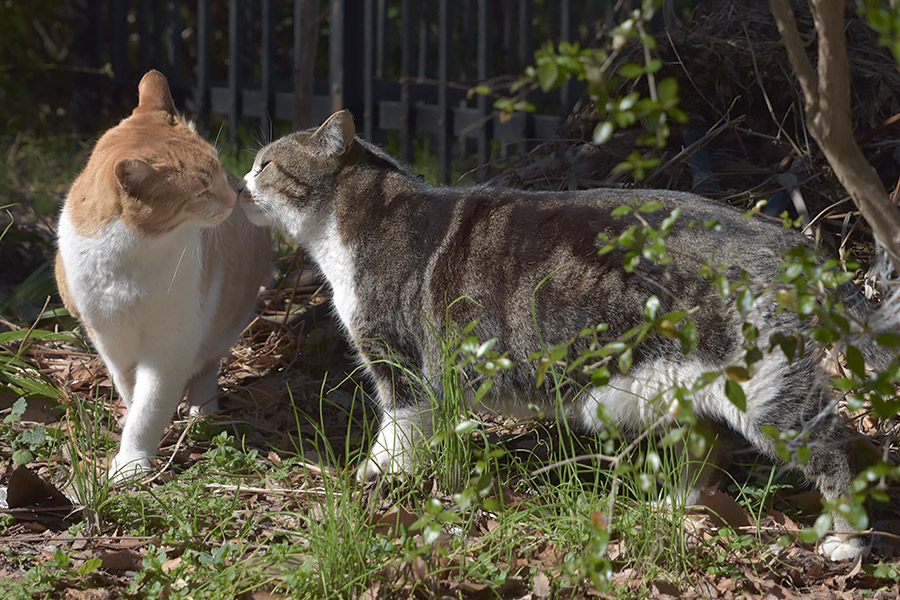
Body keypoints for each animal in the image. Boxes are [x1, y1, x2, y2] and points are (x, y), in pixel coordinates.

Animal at [53, 70, 268, 480]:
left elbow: (149, 405)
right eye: (201, 190)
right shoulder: (108, 339)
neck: (124, 259)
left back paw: (203, 410)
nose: (234, 193)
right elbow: (131, 391)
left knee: (207, 366)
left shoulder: (171, 344)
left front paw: (132, 461)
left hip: (225, 322)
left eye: (217, 169)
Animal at [239, 111, 892, 564]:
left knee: (848, 452)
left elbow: (395, 437)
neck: (352, 228)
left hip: (767, 391)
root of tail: (790, 241)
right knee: (707, 449)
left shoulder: (400, 365)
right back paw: (674, 506)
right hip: (684, 393)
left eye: (266, 164)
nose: (241, 179)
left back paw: (846, 542)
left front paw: (374, 482)